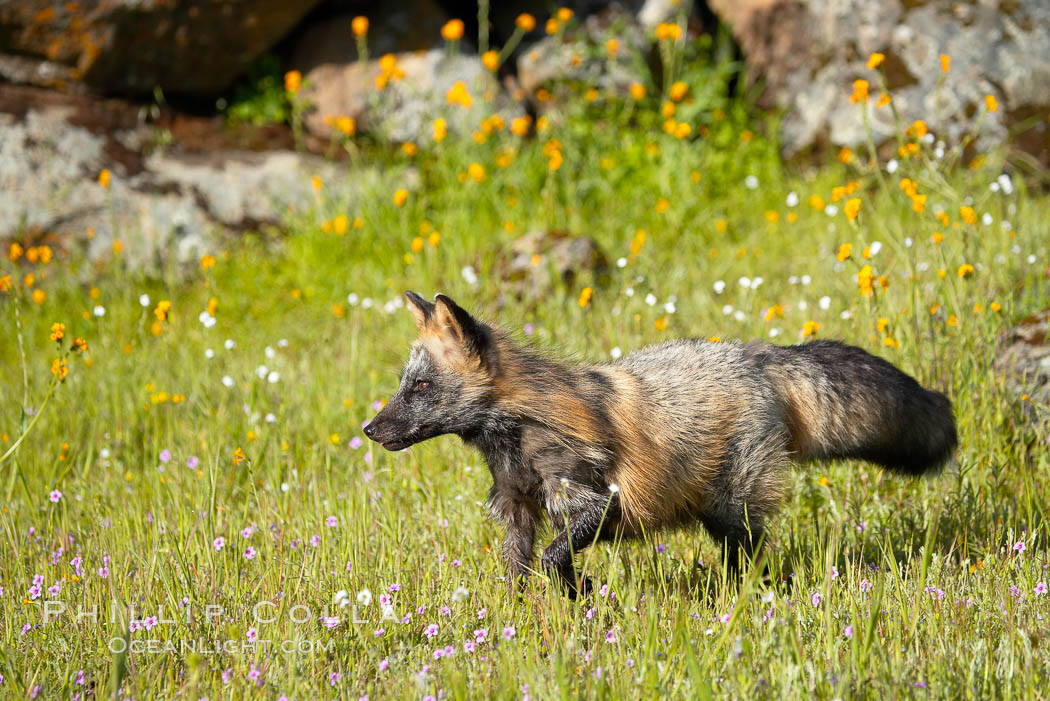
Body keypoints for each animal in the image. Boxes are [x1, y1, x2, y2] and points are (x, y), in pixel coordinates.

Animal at [365, 291, 957, 596]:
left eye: (421, 388)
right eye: (405, 384)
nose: (370, 430)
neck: (521, 440)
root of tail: (753, 354)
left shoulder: (596, 501)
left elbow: (556, 559)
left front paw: (581, 597)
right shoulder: (519, 511)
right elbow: (520, 574)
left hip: (730, 510)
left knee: (754, 559)